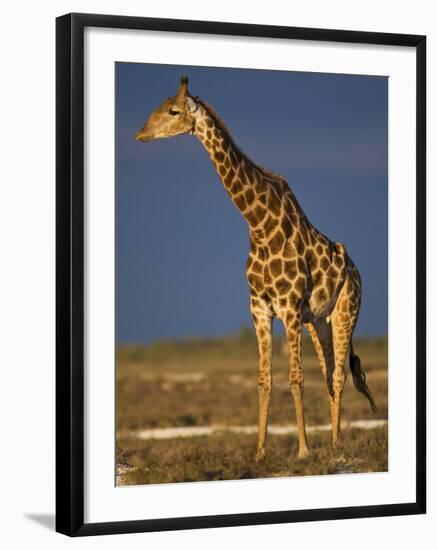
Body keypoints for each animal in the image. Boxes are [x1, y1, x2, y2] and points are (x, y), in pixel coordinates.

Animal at [135, 73, 374, 462]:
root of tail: (355, 270)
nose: (140, 133)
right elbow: (265, 380)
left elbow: (295, 378)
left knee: (338, 375)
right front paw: (260, 452)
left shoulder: (289, 308)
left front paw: (303, 450)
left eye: (173, 110)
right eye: (159, 106)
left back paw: (336, 445)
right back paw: (335, 441)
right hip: (318, 321)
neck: (258, 224)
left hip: (345, 311)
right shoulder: (259, 307)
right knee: (329, 373)